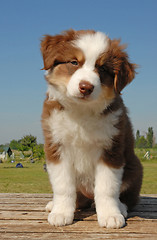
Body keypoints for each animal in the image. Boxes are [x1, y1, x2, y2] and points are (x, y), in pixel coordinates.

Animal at [40, 29, 142, 229]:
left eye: (102, 69)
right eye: (74, 62)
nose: (86, 87)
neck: (81, 111)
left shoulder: (111, 148)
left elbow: (106, 187)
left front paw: (111, 215)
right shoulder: (56, 145)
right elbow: (63, 186)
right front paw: (61, 213)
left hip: (134, 169)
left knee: (126, 197)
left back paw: (121, 207)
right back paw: (54, 205)